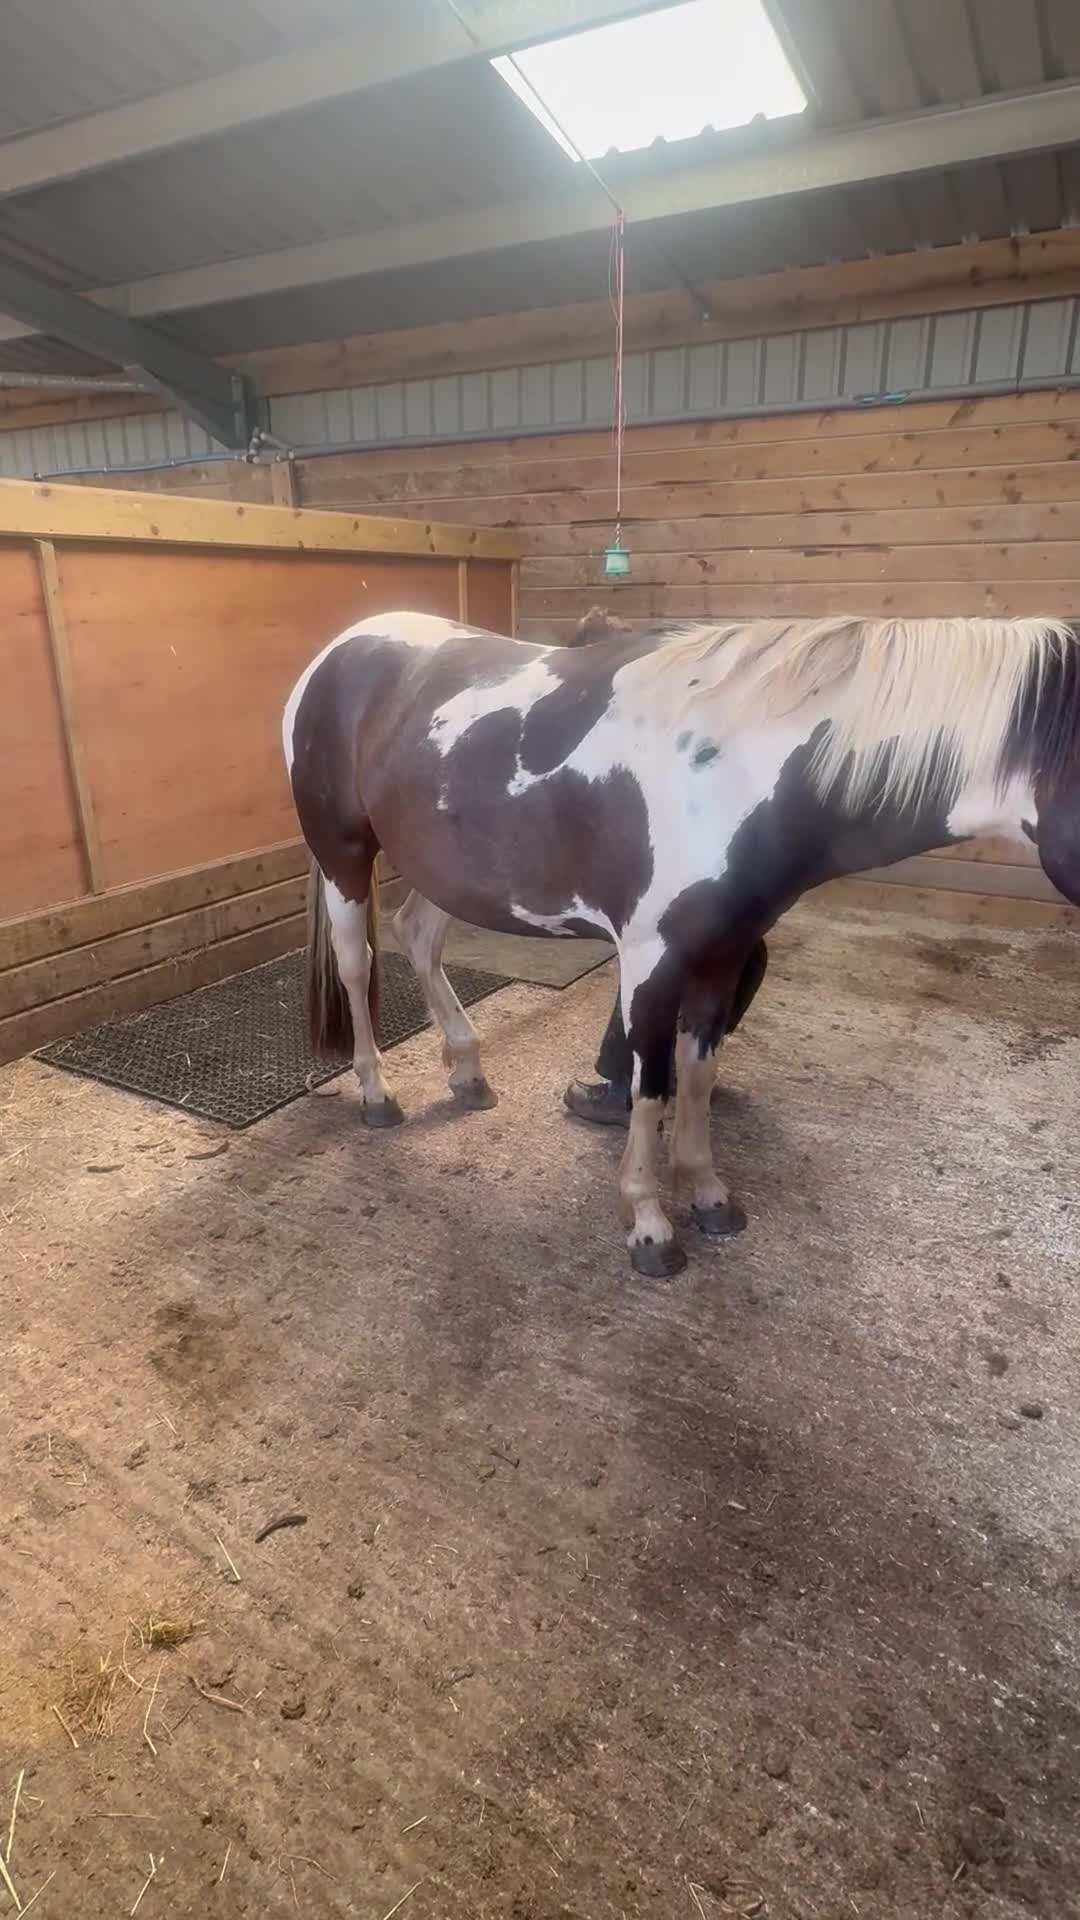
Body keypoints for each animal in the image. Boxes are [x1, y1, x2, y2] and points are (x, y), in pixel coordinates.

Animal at [283, 610, 1080, 1277]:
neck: (738, 772)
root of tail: (337, 650)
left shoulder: (722, 958)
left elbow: (698, 1077)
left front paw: (707, 1191)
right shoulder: (651, 961)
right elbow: (653, 1084)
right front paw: (648, 1223)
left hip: (448, 870)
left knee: (419, 939)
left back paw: (469, 1073)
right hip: (344, 854)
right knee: (357, 965)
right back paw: (378, 1094)